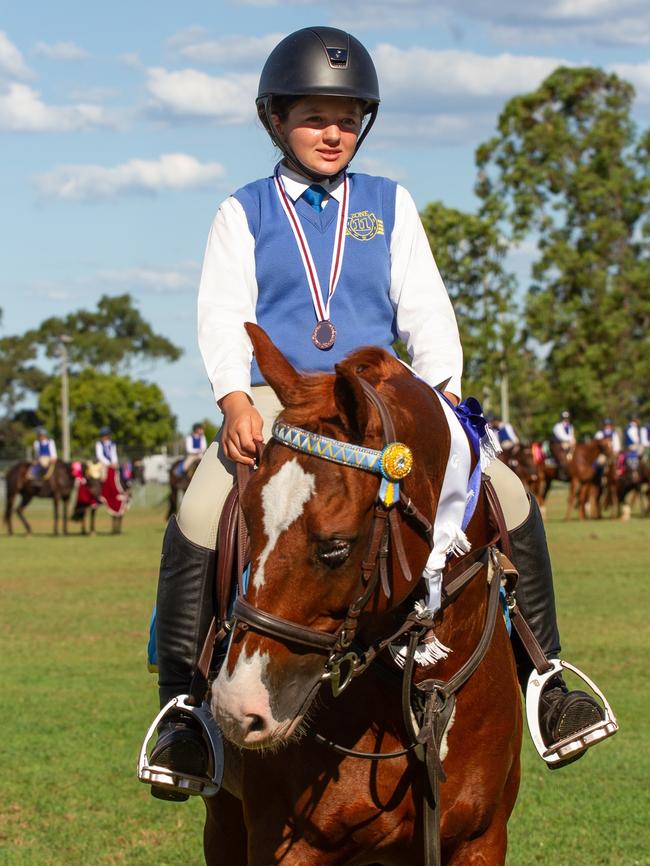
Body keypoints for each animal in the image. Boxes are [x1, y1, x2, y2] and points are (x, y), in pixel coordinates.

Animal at [205, 324, 520, 864]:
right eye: (249, 518)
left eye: (336, 547)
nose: (234, 706)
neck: (422, 694)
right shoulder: (286, 843)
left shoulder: (481, 838)